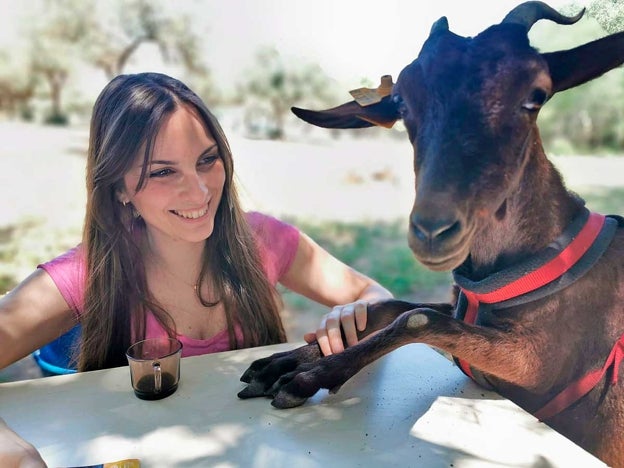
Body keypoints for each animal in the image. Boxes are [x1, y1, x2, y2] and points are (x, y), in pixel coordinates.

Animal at [238, 2, 624, 464]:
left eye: (536, 94)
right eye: (402, 102)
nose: (432, 231)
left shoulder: (540, 362)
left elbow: (416, 318)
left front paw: (307, 377)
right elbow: (392, 308)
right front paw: (280, 363)